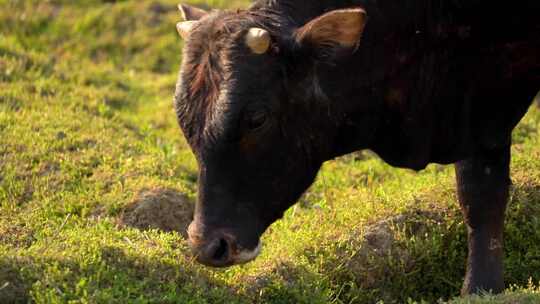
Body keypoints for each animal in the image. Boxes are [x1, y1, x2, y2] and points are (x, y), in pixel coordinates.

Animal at [174, 0, 540, 296]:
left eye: (257, 119)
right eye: (184, 119)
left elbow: (481, 198)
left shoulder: (486, 100)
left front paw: (481, 288)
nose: (208, 246)